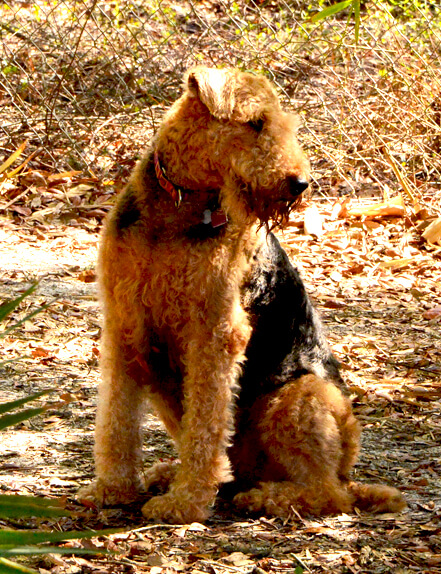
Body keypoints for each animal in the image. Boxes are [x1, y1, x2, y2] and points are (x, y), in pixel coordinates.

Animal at [77, 68, 404, 528]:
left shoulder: (215, 332)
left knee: (330, 494)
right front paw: (112, 489)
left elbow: (206, 427)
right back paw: (177, 475)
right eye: (256, 123)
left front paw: (186, 504)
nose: (299, 183)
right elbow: (116, 419)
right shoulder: (125, 322)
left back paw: (261, 498)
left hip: (297, 398)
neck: (179, 204)